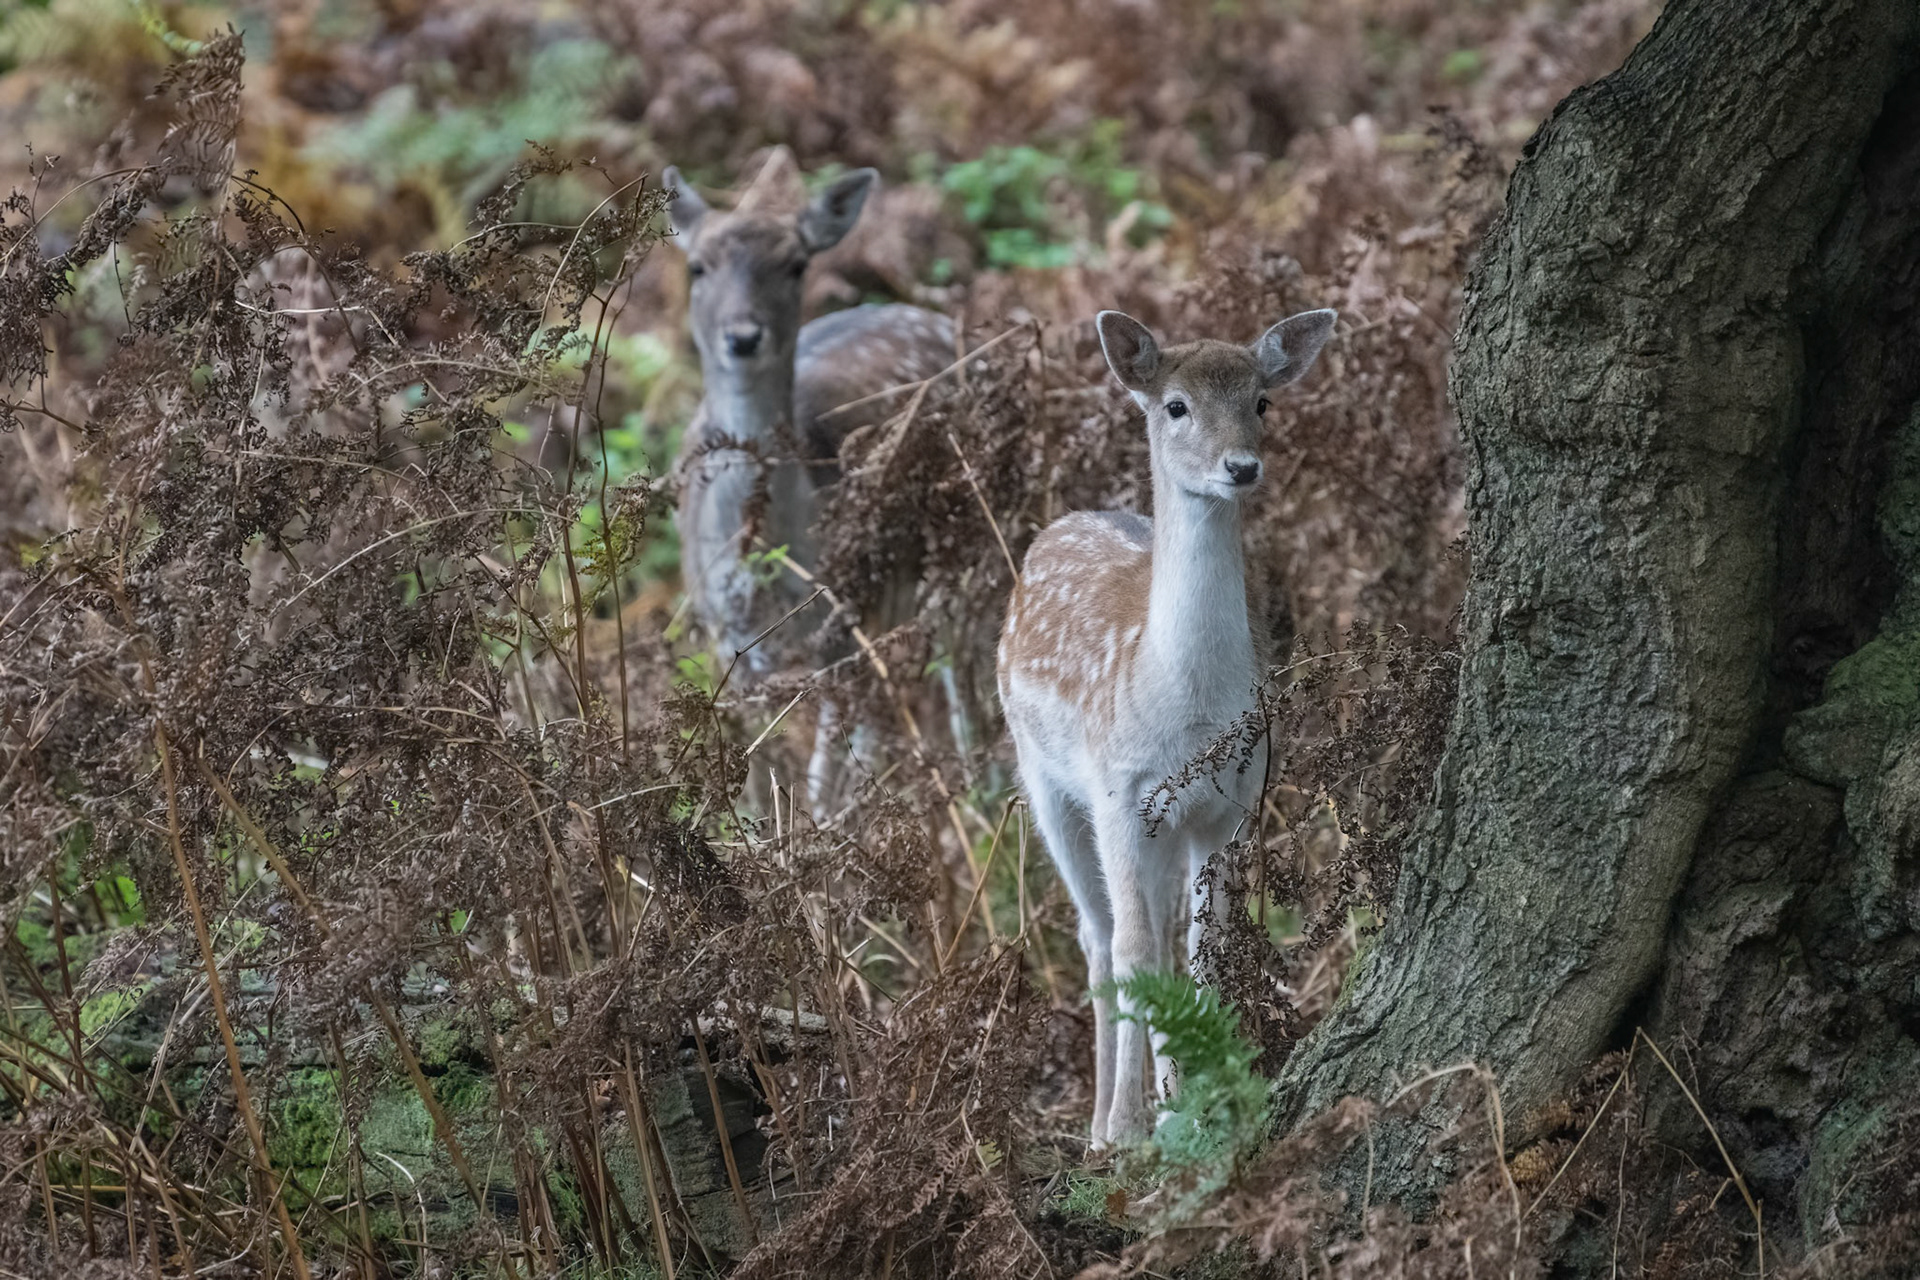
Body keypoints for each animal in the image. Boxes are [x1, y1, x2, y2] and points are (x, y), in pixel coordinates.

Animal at [664, 155, 954, 807]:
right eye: (698, 265)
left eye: (796, 264)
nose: (744, 337)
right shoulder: (721, 631)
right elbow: (752, 770)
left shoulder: (844, 620)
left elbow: (824, 778)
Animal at [996, 307, 1336, 1147]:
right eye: (1176, 405)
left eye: (1261, 401)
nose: (1241, 467)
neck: (1185, 710)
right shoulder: (1120, 791)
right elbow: (1136, 951)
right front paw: (1136, 1124)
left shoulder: (1232, 803)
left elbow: (1206, 949)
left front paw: (1204, 1094)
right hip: (1045, 776)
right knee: (1101, 937)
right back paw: (1101, 1122)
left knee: (1153, 929)